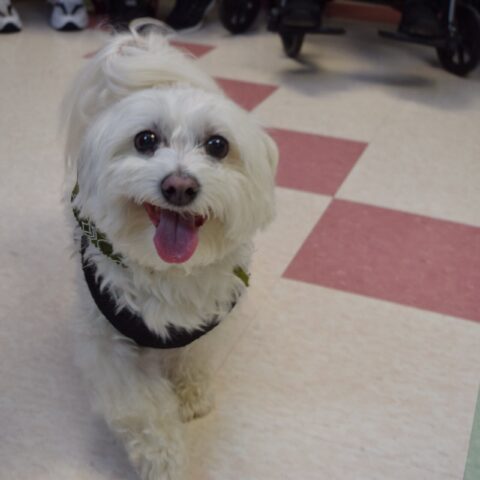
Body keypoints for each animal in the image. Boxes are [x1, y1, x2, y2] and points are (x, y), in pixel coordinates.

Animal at [61, 27, 278, 480]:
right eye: (145, 140)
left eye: (217, 145)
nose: (179, 186)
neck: (168, 272)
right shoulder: (106, 344)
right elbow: (142, 408)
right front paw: (165, 460)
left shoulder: (208, 317)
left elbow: (195, 357)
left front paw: (192, 394)